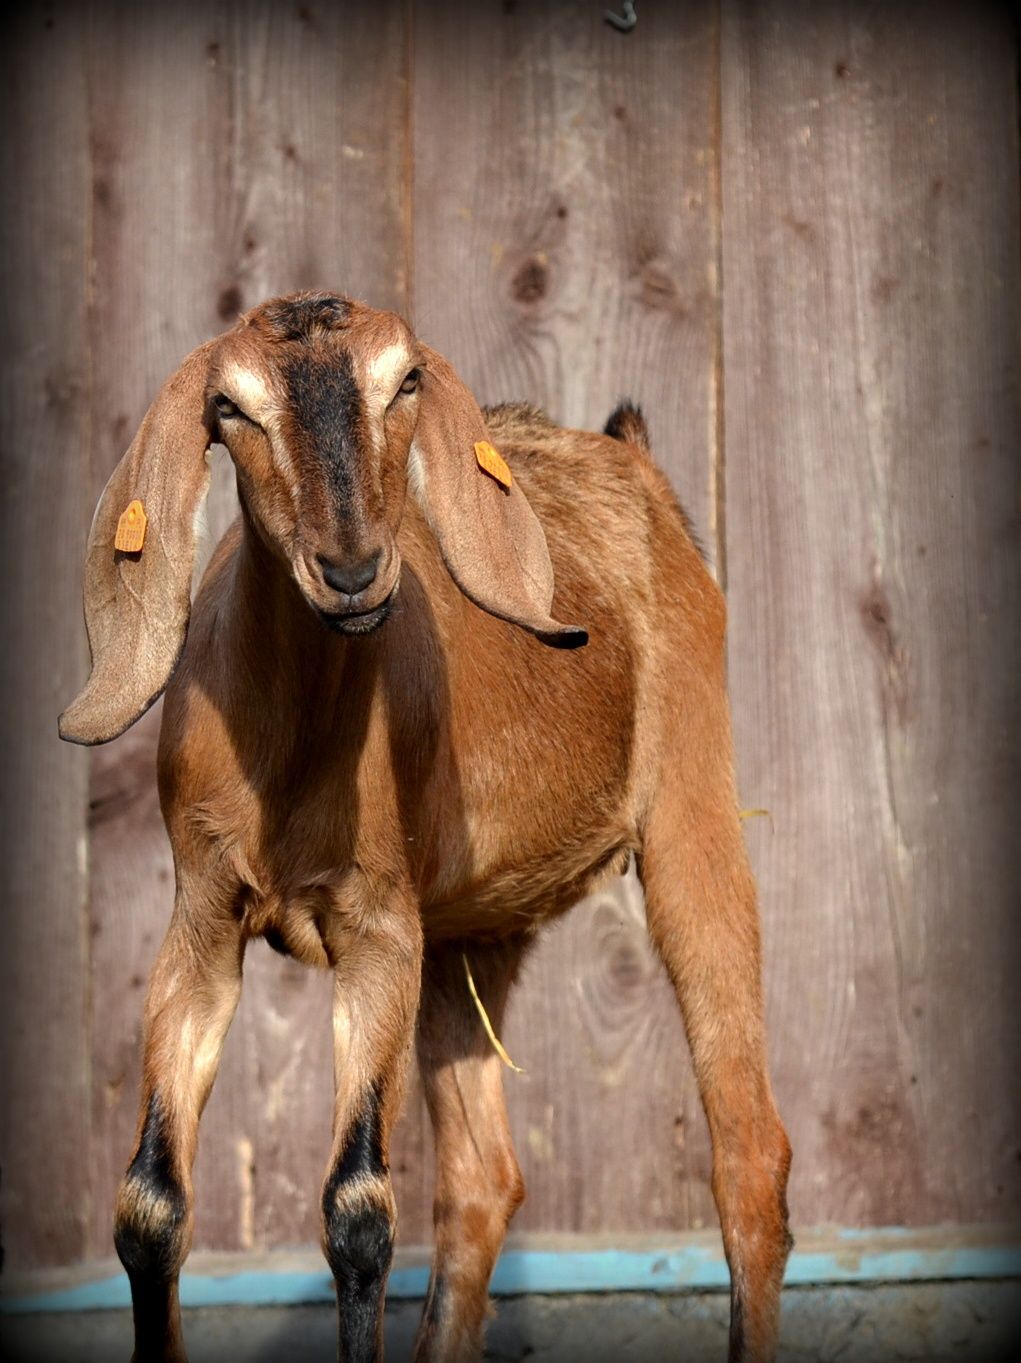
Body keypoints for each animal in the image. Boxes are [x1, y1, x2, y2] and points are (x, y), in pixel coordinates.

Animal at [59, 295, 790, 1363]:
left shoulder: (377, 927)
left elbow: (357, 1212)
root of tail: (630, 460)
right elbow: (149, 1206)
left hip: (692, 803)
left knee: (748, 1151)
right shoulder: (202, 918)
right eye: (229, 406)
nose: (353, 569)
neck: (291, 759)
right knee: (484, 1179)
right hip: (468, 936)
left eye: (403, 380)